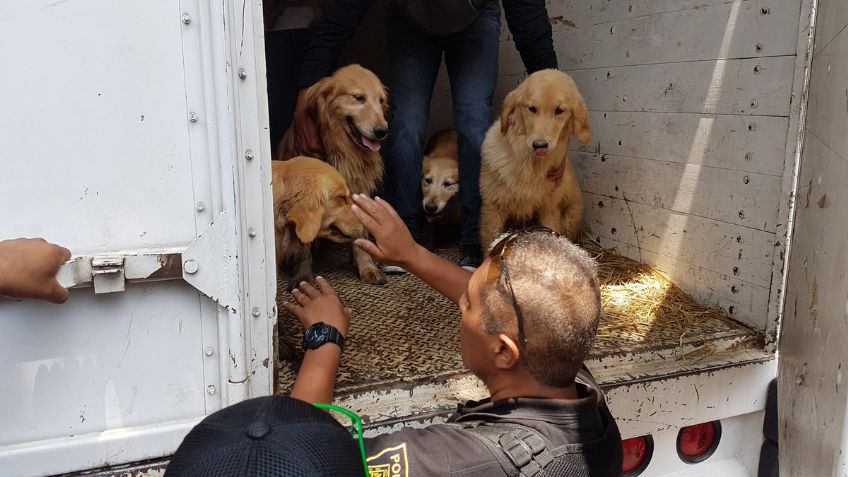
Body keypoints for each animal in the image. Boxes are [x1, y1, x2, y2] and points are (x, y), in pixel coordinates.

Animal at [480, 70, 592, 249]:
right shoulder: (493, 208)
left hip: (570, 217)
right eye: (531, 109)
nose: (540, 145)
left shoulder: (549, 210)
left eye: (559, 110)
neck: (530, 165)